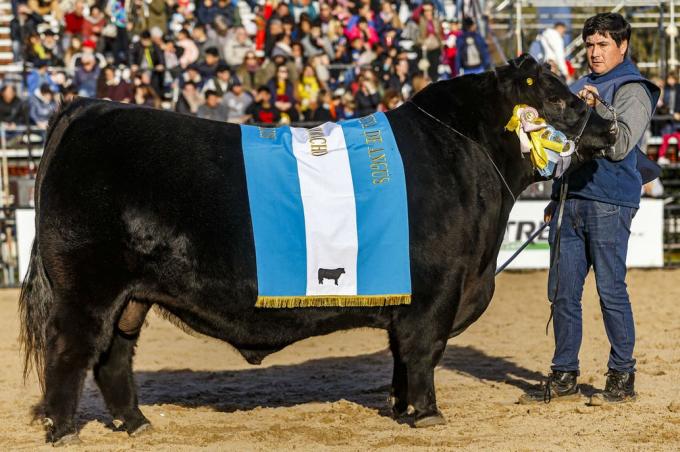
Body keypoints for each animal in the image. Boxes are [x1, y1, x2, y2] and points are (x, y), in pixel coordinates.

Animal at [18, 54, 612, 444]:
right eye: (554, 97)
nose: (606, 125)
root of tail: (88, 108)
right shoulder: (438, 288)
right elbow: (423, 352)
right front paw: (426, 414)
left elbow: (401, 357)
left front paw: (400, 408)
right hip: (87, 287)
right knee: (72, 352)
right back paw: (65, 431)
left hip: (132, 296)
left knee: (113, 356)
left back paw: (135, 424)